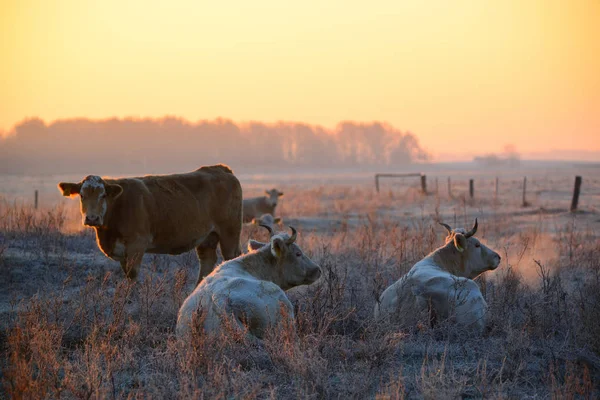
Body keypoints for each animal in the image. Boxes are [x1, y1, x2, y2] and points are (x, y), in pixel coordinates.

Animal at [57, 163, 243, 284]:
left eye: (103, 195)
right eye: (82, 196)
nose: (92, 218)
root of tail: (219, 169)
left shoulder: (137, 244)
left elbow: (132, 275)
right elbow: (126, 274)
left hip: (230, 232)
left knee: (232, 257)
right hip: (207, 237)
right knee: (207, 260)